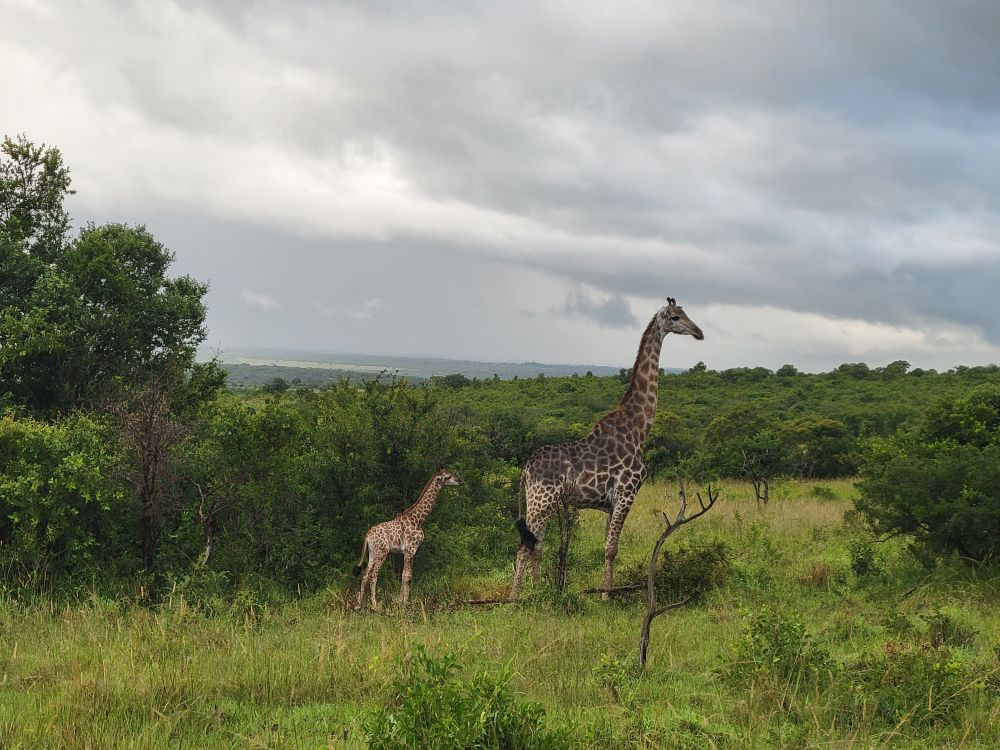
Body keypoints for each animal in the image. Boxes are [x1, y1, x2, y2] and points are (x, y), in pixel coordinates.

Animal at [353, 467, 462, 610]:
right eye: (449, 476)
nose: (460, 481)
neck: (419, 520)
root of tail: (367, 536)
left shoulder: (408, 551)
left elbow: (405, 575)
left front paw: (401, 601)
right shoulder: (411, 549)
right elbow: (407, 576)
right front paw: (404, 603)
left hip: (372, 552)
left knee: (365, 574)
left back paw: (359, 605)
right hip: (382, 552)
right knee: (373, 575)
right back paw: (375, 606)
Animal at [509, 298, 704, 601]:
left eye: (686, 313)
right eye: (675, 317)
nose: (699, 332)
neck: (637, 430)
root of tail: (526, 470)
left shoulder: (611, 502)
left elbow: (608, 547)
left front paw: (604, 591)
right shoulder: (626, 494)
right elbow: (611, 549)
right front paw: (606, 597)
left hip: (538, 502)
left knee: (536, 544)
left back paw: (539, 592)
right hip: (542, 502)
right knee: (525, 545)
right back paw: (515, 598)